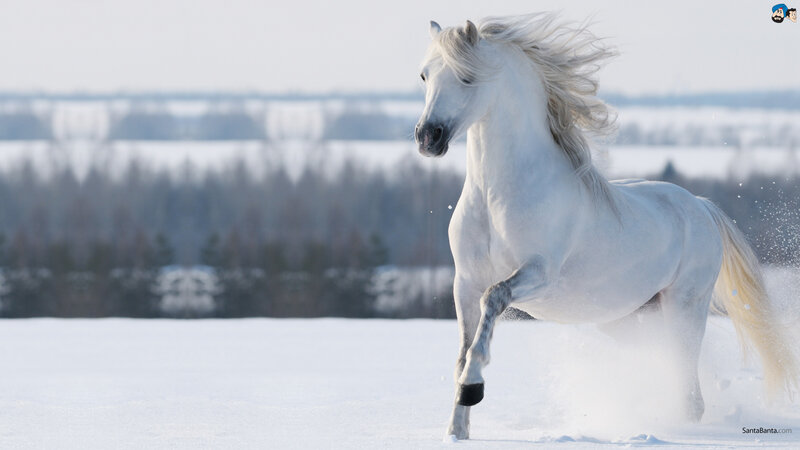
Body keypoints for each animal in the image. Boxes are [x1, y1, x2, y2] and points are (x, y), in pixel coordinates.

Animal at [413, 14, 799, 441]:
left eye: (467, 77)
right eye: (424, 75)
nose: (427, 138)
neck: (495, 196)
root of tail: (700, 205)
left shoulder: (538, 274)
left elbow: (492, 303)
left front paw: (472, 388)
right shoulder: (464, 281)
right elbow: (463, 349)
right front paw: (457, 429)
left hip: (685, 306)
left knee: (690, 389)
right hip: (629, 318)